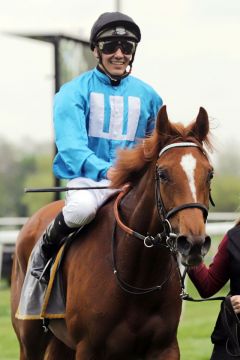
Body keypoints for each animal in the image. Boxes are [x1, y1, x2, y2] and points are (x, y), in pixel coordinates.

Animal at [10, 105, 214, 358]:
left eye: (209, 173)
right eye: (163, 174)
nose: (194, 243)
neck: (137, 278)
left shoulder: (165, 347)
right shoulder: (88, 347)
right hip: (29, 339)